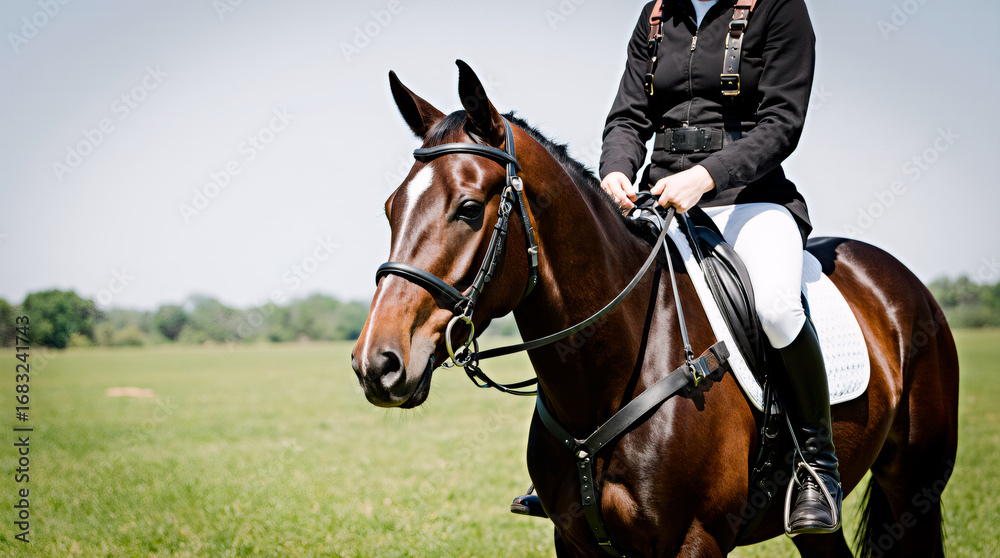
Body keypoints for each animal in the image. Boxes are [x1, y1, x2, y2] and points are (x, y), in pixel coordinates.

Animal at [351, 61, 959, 557]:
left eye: (470, 208)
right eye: (390, 208)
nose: (377, 364)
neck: (608, 374)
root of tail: (900, 279)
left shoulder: (695, 540)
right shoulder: (576, 543)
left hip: (915, 487)